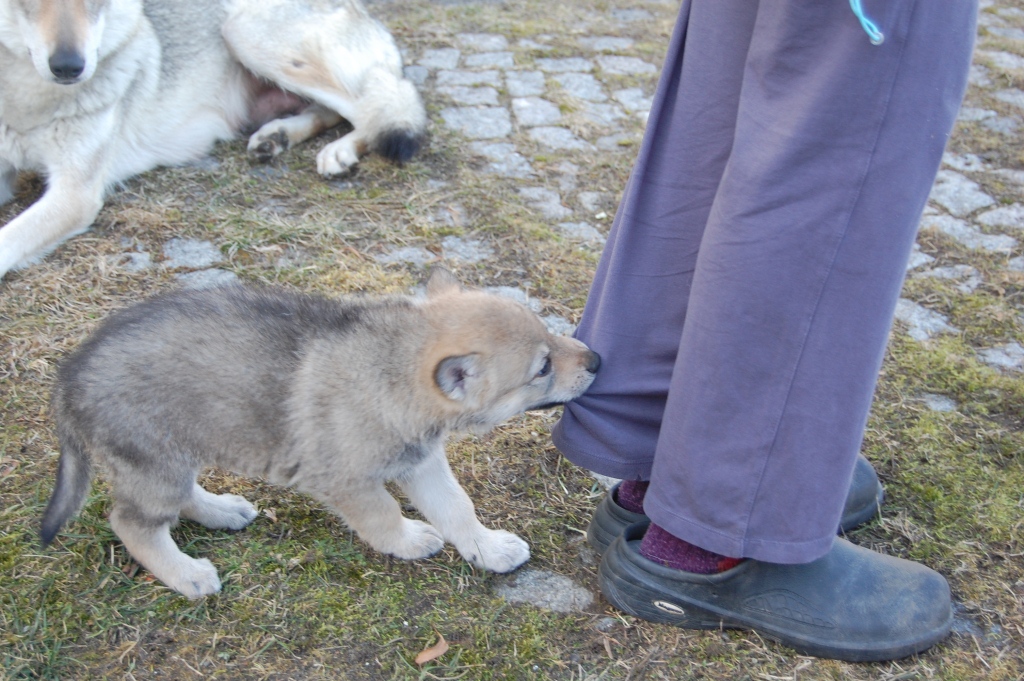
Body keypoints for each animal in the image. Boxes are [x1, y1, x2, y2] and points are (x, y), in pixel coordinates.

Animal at [0, 0, 423, 278]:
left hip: (242, 33)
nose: (69, 67)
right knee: (332, 110)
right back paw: (276, 136)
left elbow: (7, 241)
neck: (25, 102)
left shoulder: (75, 193)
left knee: (380, 107)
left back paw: (339, 150)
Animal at [39, 268, 598, 598]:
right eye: (542, 367)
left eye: (548, 332)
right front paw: (409, 541)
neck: (391, 369)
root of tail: (69, 377)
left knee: (179, 499)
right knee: (132, 523)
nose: (596, 358)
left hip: (181, 451)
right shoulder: (348, 483)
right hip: (156, 461)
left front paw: (487, 549)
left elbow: (458, 507)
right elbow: (384, 515)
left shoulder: (421, 462)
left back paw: (222, 510)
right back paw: (187, 574)